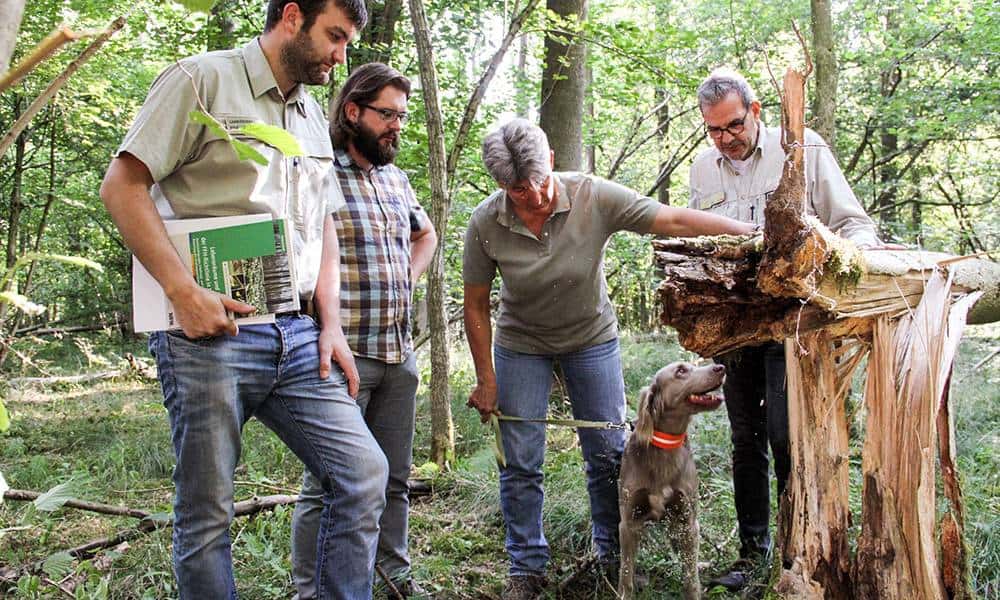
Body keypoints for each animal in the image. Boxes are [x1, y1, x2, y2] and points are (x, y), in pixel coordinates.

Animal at [612, 360, 724, 600]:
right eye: (680, 371)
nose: (720, 367)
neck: (666, 445)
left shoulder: (688, 521)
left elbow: (690, 576)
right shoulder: (628, 523)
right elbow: (626, 572)